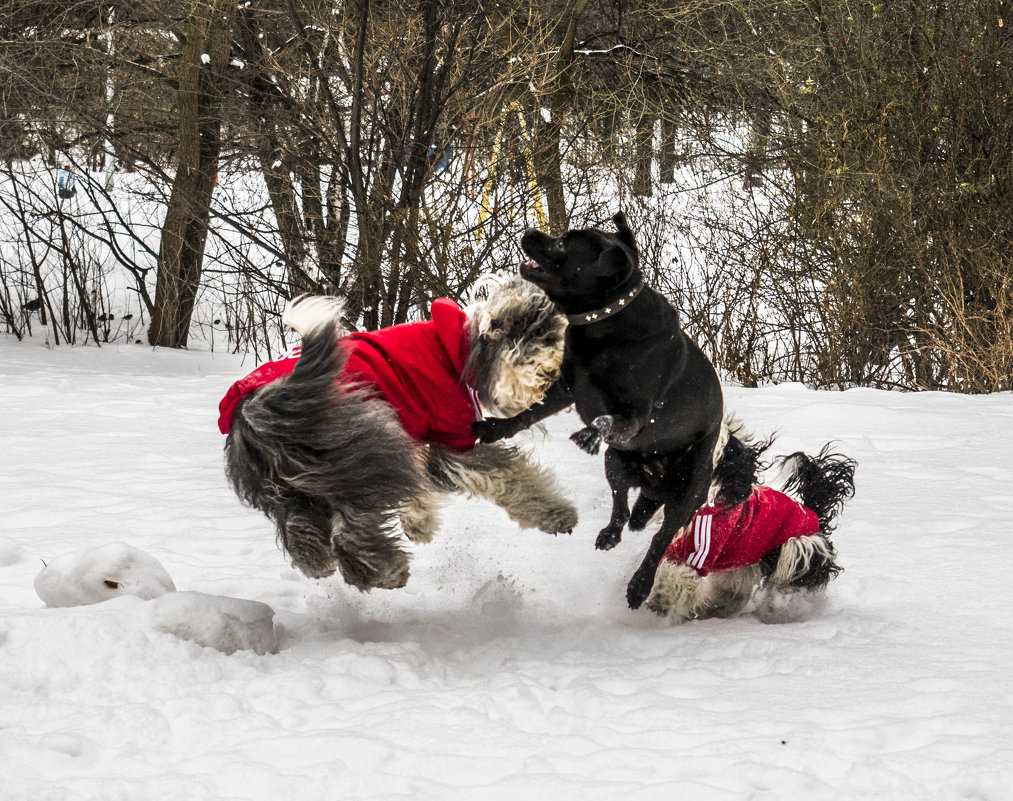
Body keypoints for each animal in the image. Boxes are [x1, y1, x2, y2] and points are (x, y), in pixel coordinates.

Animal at [220, 279, 579, 591]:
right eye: (549, 336)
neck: (465, 348)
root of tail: (255, 409)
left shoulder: (415, 439)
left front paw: (419, 526)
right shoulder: (451, 438)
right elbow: (510, 477)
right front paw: (557, 515)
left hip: (296, 487)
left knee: (300, 529)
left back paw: (321, 563)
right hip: (363, 454)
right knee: (350, 531)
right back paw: (388, 572)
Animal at [476, 212, 729, 607]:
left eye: (564, 242)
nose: (530, 231)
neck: (604, 324)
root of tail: (653, 481)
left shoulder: (639, 414)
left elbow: (608, 419)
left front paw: (589, 434)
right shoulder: (568, 387)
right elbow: (529, 413)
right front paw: (493, 430)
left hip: (689, 491)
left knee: (659, 539)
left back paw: (640, 584)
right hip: (616, 463)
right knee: (621, 508)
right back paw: (609, 535)